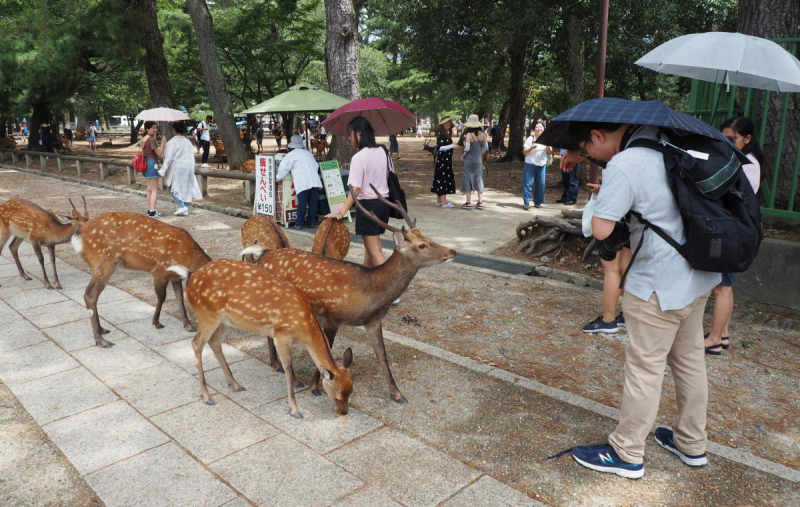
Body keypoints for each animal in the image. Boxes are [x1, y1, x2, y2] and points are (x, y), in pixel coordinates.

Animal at [71, 212, 211, 348]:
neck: (187, 256)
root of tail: (77, 236)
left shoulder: (175, 277)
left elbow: (179, 298)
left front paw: (188, 325)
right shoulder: (159, 271)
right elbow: (162, 297)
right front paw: (156, 322)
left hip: (98, 267)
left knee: (88, 293)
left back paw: (102, 330)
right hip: (103, 263)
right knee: (90, 295)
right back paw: (101, 340)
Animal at [169, 260, 354, 418]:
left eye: (351, 391)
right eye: (338, 395)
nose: (344, 412)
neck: (304, 330)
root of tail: (190, 276)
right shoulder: (281, 334)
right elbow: (287, 368)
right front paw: (295, 409)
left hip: (225, 320)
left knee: (214, 342)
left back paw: (235, 384)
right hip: (207, 314)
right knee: (196, 343)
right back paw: (207, 397)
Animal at [241, 187, 456, 404]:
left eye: (429, 238)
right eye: (422, 245)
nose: (452, 251)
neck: (370, 293)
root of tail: (263, 254)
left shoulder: (373, 321)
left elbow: (382, 355)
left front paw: (398, 394)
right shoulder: (333, 316)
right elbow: (328, 348)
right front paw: (315, 387)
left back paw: (277, 365)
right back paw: (288, 374)